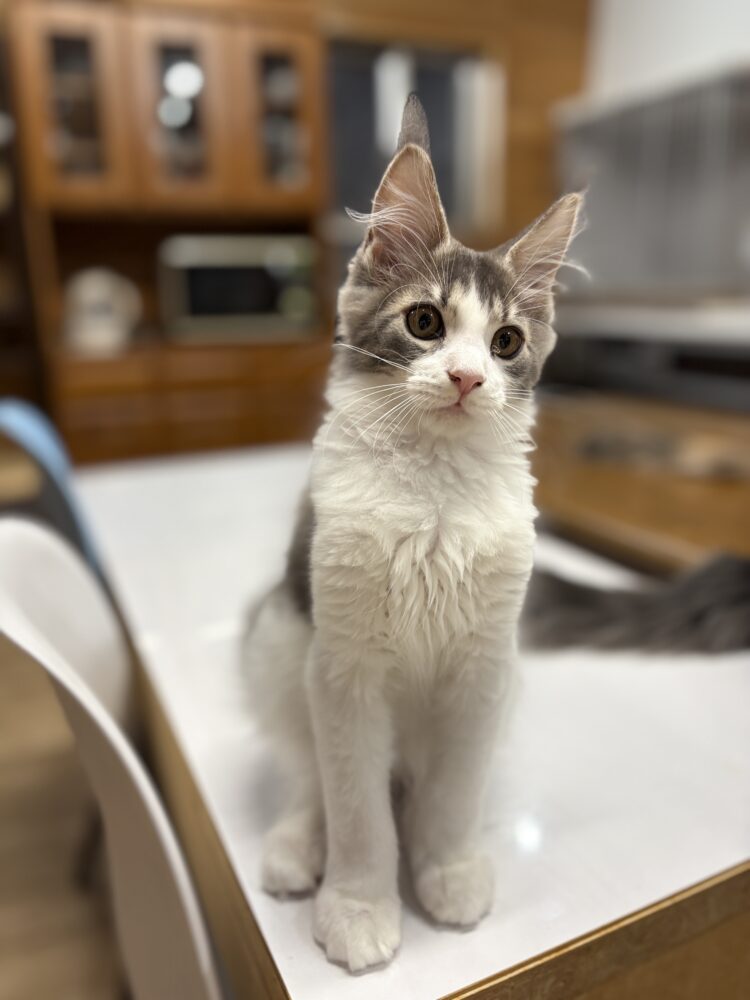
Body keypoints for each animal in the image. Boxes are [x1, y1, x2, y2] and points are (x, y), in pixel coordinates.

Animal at [245, 94, 583, 973]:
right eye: (426, 322)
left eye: (506, 342)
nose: (466, 378)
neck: (433, 497)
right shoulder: (344, 669)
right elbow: (357, 811)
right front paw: (360, 908)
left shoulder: (483, 669)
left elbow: (451, 796)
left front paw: (447, 871)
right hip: (280, 640)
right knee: (305, 773)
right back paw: (296, 848)